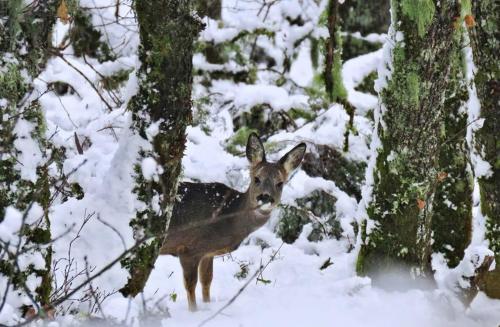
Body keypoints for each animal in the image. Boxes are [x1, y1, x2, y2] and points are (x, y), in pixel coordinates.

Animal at [162, 134, 306, 312]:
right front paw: (194, 313)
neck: (229, 218)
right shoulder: (188, 249)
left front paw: (208, 306)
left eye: (280, 183)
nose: (265, 197)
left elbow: (207, 281)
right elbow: (190, 286)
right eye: (256, 178)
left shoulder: (207, 253)